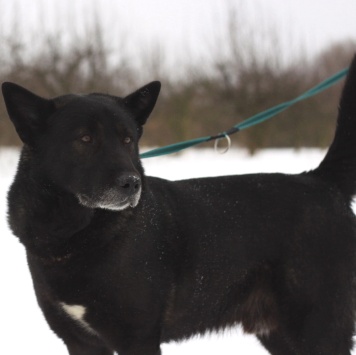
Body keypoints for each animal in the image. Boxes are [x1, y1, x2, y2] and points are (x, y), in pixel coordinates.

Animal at [2, 56, 356, 355]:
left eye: (128, 140)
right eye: (85, 139)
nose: (132, 183)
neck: (75, 233)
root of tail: (320, 181)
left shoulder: (137, 339)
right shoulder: (80, 342)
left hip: (319, 330)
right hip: (281, 334)